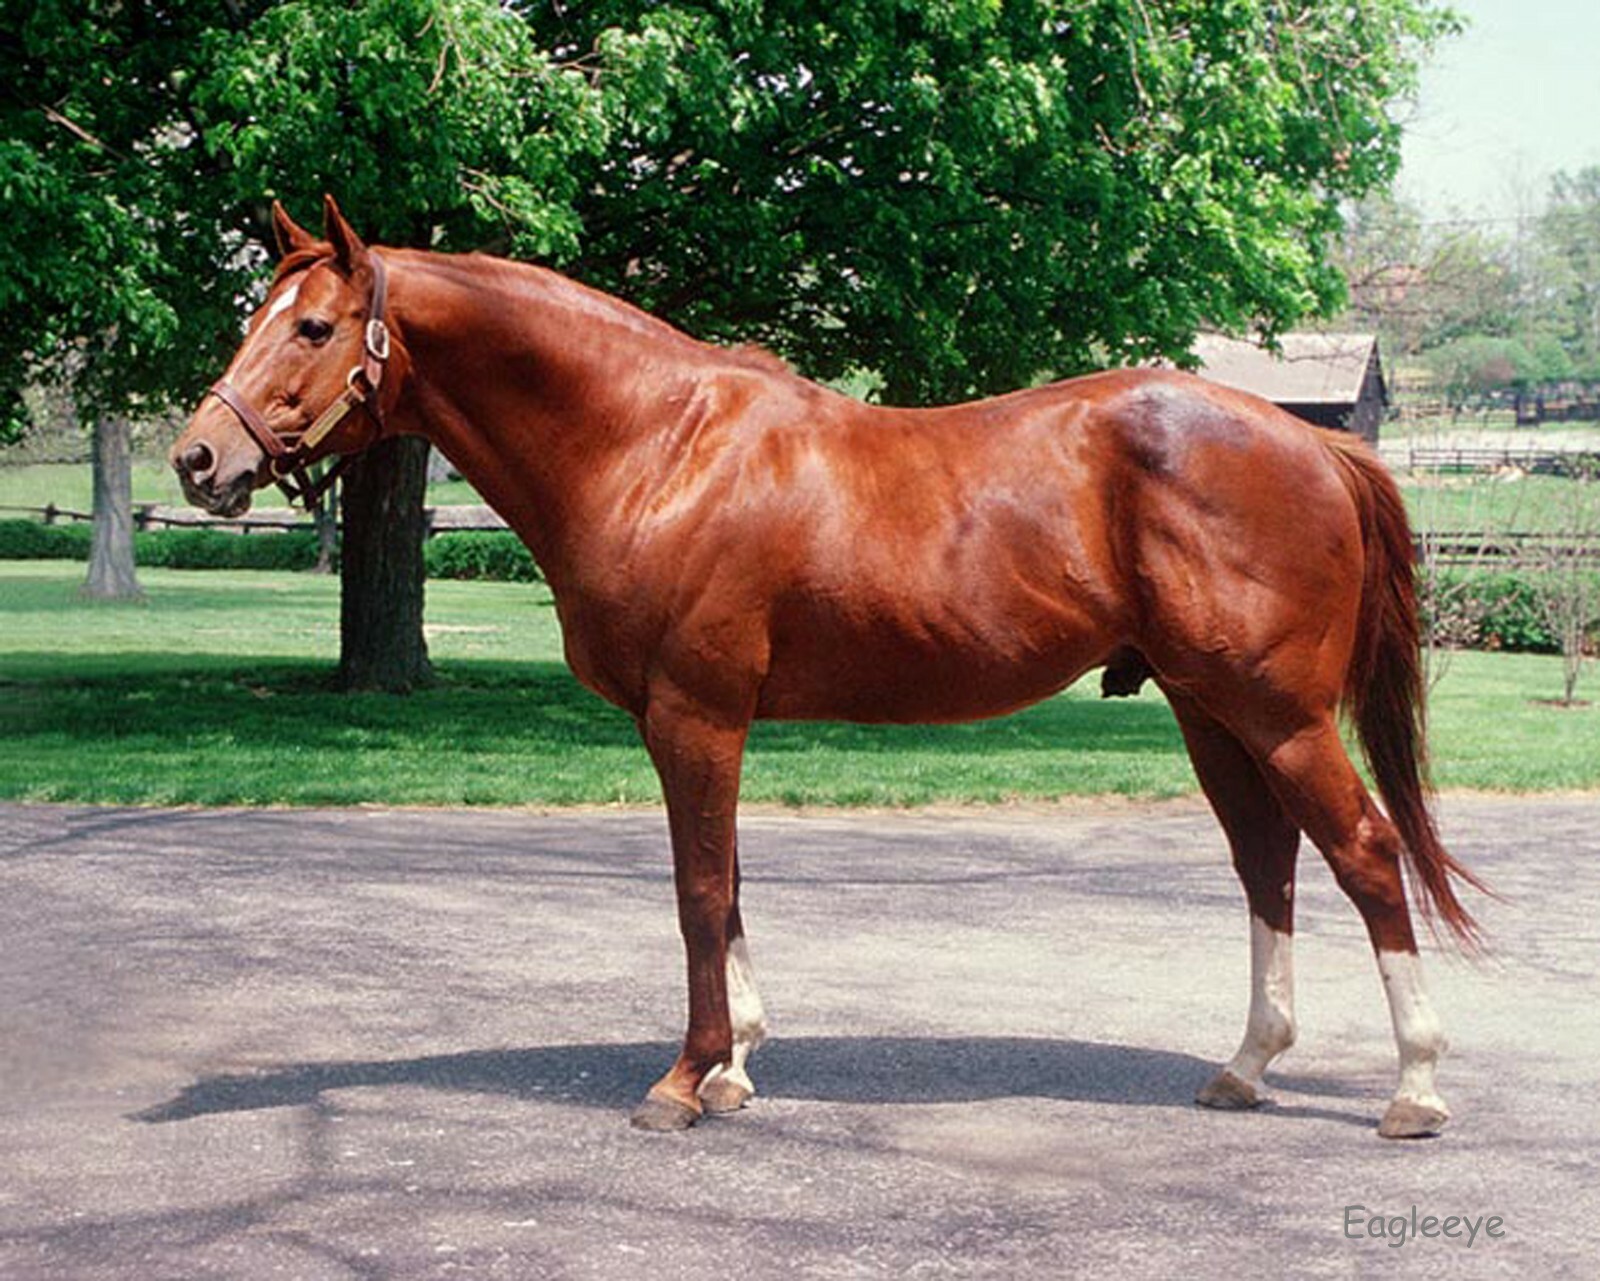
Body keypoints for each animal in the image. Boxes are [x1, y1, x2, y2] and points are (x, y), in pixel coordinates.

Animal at [168, 199, 1478, 1138]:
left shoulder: (693, 715)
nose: (197, 458)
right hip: (1212, 712)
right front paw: (736, 1067)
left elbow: (699, 892)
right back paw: (1245, 1068)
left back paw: (1413, 1090)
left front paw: (685, 1081)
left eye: (313, 328)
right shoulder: (702, 722)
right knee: (1267, 861)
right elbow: (730, 884)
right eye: (254, 315)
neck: (655, 445)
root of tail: (1309, 441)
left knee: (1364, 855)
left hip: (1278, 712)